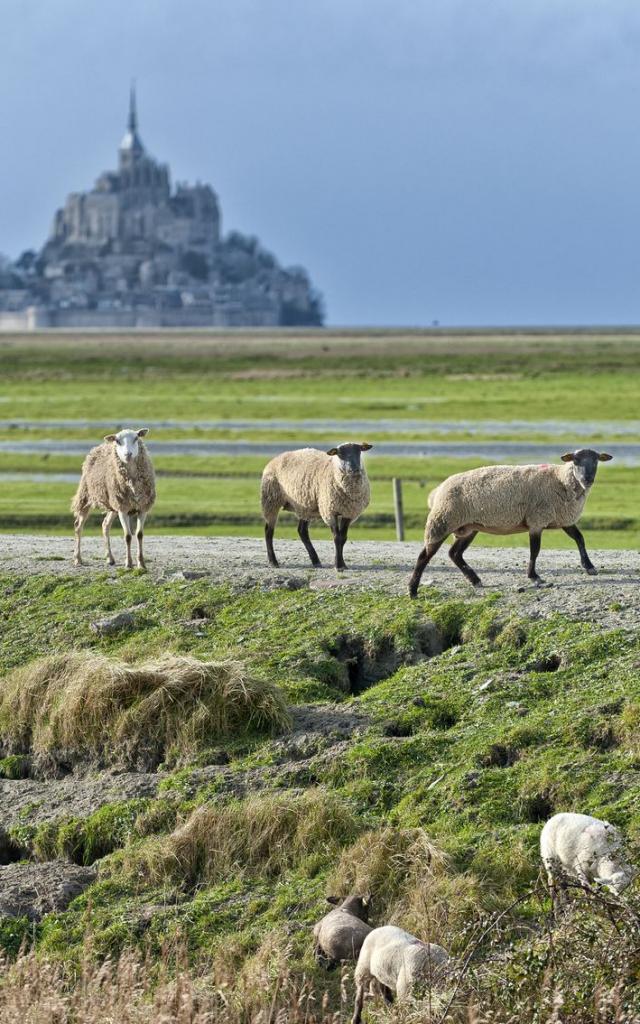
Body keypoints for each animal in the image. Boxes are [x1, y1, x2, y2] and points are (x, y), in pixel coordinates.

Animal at [71, 423, 155, 569]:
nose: (128, 454)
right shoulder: (123, 509)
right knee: (78, 525)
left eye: (136, 438)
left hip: (113, 504)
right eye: (117, 441)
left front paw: (141, 563)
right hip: (86, 496)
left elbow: (139, 535)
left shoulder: (142, 507)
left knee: (105, 525)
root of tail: (99, 447)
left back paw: (109, 558)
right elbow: (127, 536)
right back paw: (78, 558)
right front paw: (128, 563)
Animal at [260, 440, 372, 569]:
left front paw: (341, 563)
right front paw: (338, 565)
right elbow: (336, 538)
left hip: (304, 506)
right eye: (340, 454)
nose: (354, 469)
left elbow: (343, 538)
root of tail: (276, 458)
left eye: (359, 451)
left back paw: (316, 561)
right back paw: (273, 562)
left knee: (302, 531)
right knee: (269, 531)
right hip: (271, 501)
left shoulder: (349, 513)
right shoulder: (329, 511)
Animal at [407, 444, 610, 598]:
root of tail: (438, 490)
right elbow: (535, 550)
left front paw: (589, 567)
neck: (561, 480)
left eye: (595, 461)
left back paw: (475, 580)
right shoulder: (536, 520)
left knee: (454, 554)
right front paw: (534, 577)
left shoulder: (563, 519)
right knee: (424, 556)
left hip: (468, 527)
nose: (587, 479)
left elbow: (580, 538)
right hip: (442, 521)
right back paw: (413, 590)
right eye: (575, 461)